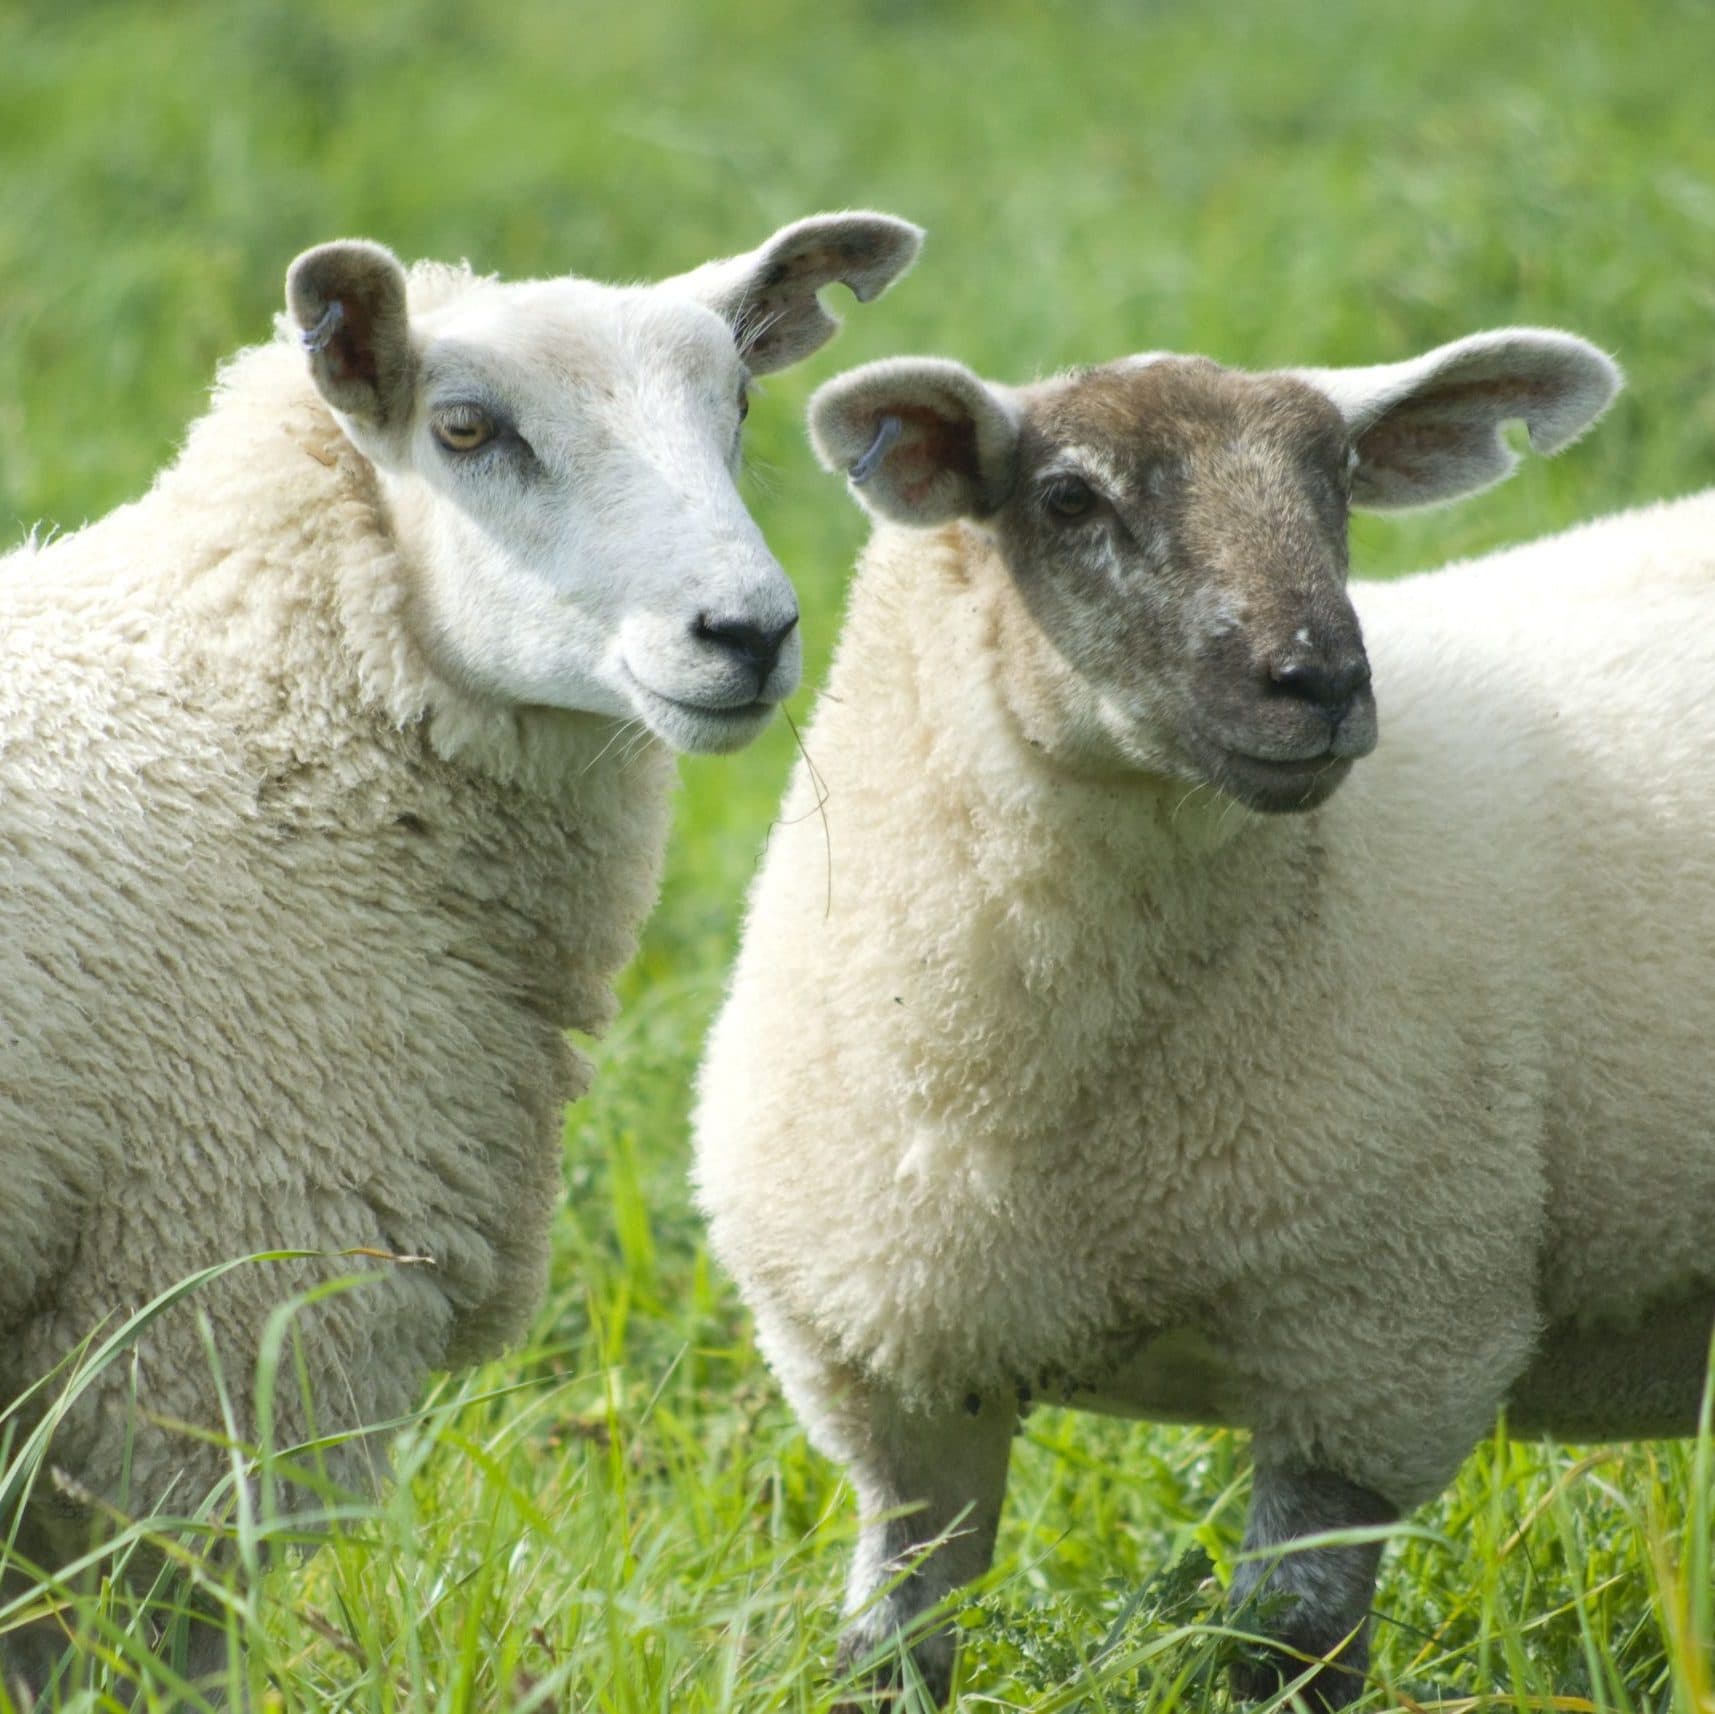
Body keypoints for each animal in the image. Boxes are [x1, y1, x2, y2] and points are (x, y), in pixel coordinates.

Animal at [689, 328, 1715, 1708]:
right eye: (1068, 498)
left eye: (1336, 482)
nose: (1319, 681)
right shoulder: (896, 1374)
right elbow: (890, 1644)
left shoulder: (1376, 1343)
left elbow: (1283, 1648)